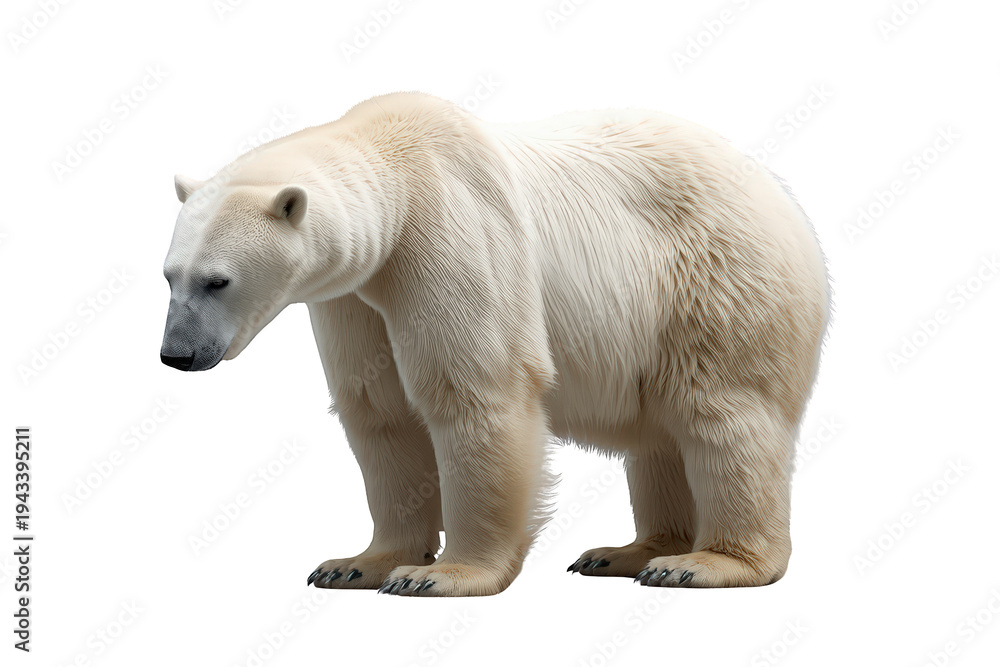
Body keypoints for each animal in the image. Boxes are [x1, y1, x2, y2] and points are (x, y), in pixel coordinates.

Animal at [161, 92, 830, 597]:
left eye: (217, 280)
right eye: (169, 275)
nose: (177, 355)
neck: (397, 173)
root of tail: (783, 196)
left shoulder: (451, 237)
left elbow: (475, 394)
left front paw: (440, 575)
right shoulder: (353, 298)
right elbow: (380, 412)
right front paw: (355, 564)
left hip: (716, 281)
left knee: (722, 410)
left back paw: (703, 563)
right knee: (659, 436)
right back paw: (627, 552)